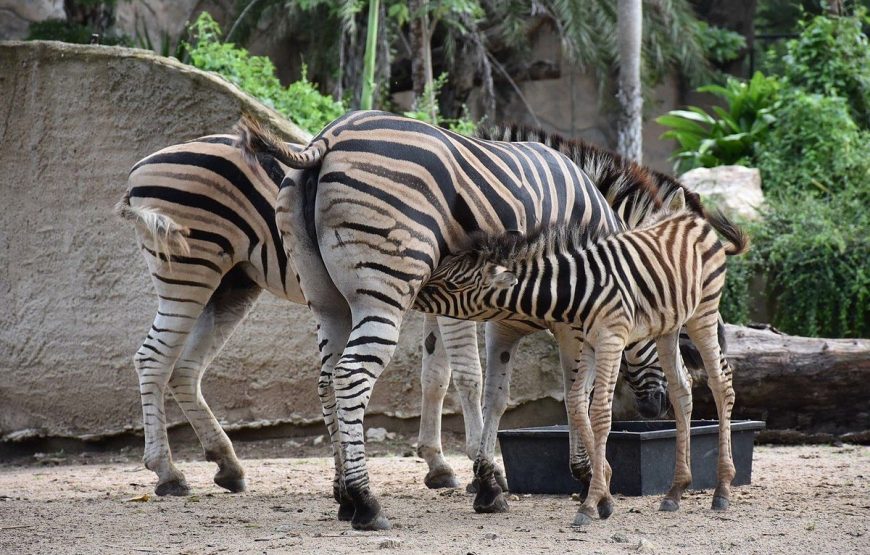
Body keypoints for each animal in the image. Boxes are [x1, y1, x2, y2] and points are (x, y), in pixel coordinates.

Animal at [114, 134, 490, 496]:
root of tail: (139, 168)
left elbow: (435, 377)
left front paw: (437, 464)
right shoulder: (455, 293)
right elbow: (468, 374)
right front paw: (478, 463)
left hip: (231, 286)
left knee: (184, 369)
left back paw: (227, 464)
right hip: (188, 272)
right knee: (152, 359)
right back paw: (168, 473)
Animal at [238, 111, 680, 532]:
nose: (657, 407)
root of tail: (327, 138)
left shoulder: (491, 314)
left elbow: (479, 389)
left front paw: (485, 482)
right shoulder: (571, 318)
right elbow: (575, 394)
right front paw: (586, 476)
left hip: (328, 302)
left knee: (327, 380)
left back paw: (344, 496)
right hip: (383, 289)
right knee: (351, 376)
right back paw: (366, 502)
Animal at [418, 208, 752, 524]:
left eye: (453, 283)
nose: (416, 292)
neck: (580, 290)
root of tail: (693, 219)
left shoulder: (611, 339)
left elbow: (600, 412)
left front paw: (591, 503)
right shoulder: (590, 343)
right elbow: (579, 405)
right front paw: (602, 494)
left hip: (703, 313)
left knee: (722, 383)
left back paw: (722, 490)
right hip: (669, 327)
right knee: (682, 390)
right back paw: (676, 491)